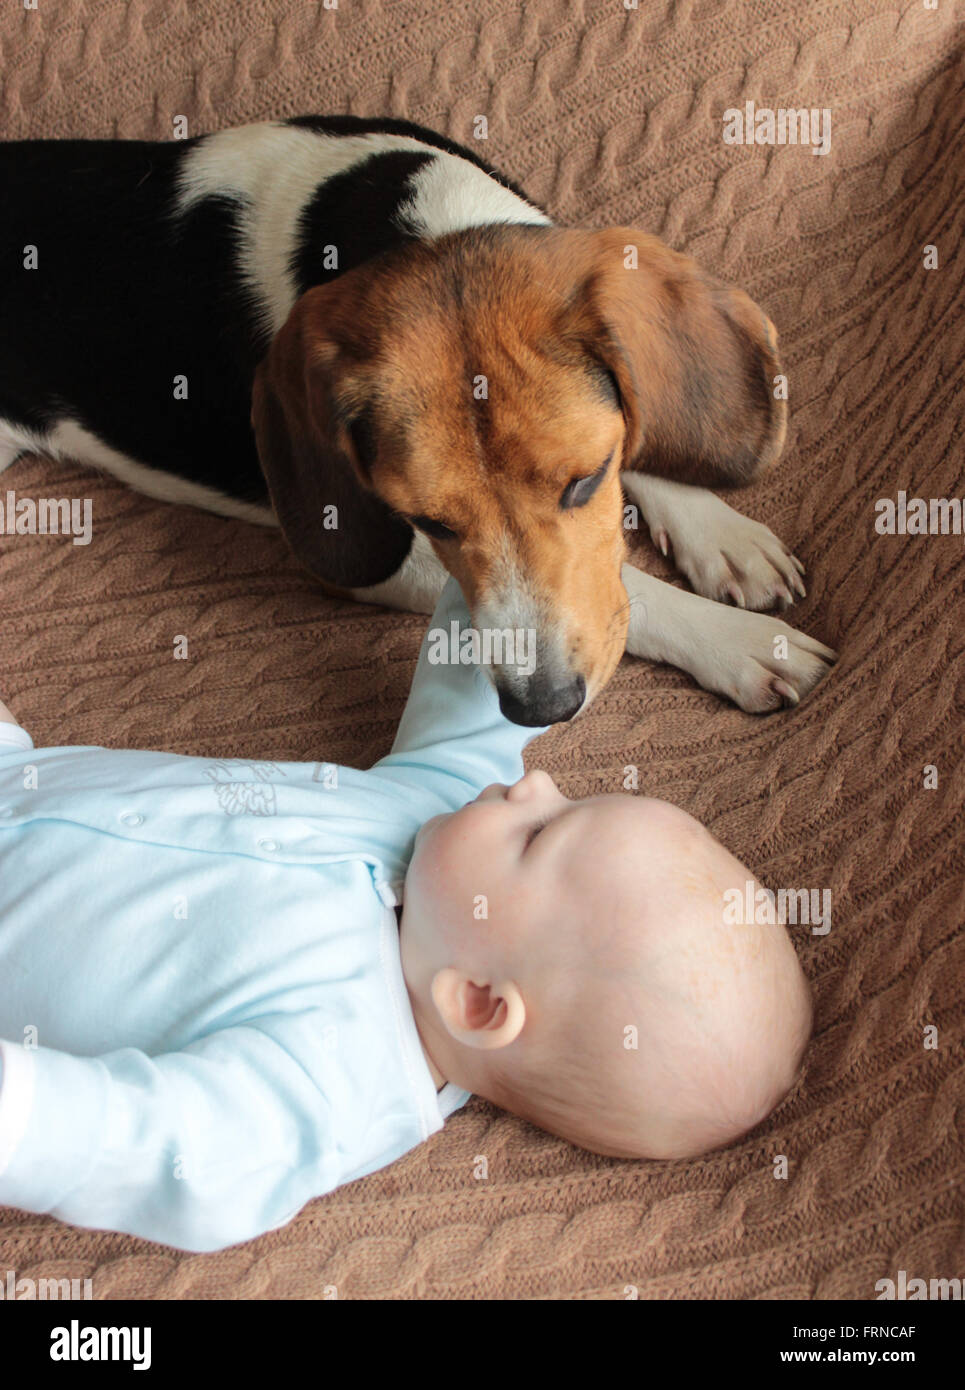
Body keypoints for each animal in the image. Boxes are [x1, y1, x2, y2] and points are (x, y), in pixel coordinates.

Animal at [0, 116, 834, 728]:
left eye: (585, 481)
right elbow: (635, 590)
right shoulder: (375, 558)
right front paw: (732, 642)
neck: (426, 228)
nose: (539, 708)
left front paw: (719, 534)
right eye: (428, 521)